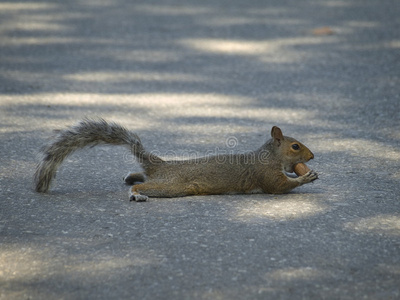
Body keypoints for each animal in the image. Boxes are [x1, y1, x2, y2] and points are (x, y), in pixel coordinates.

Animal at [33, 118, 318, 202]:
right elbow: (280, 187)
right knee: (146, 185)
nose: (312, 156)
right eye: (295, 146)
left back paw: (131, 176)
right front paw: (306, 176)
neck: (269, 156)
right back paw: (137, 193)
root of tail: (162, 164)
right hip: (171, 186)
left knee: (141, 175)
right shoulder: (266, 175)